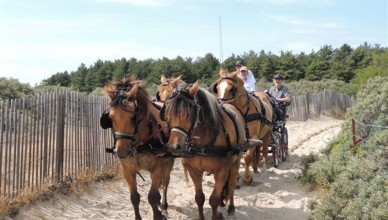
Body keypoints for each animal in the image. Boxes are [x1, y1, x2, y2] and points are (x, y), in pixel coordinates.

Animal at [102, 77, 174, 220]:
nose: (122, 152)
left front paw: (158, 214)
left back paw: (164, 206)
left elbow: (152, 197)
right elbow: (134, 197)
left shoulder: (157, 168)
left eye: (133, 117)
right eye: (110, 117)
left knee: (165, 183)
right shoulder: (127, 170)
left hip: (169, 162)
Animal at [162, 81, 256, 219]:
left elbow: (213, 199)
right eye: (168, 111)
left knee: (232, 185)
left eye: (190, 112)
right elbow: (200, 198)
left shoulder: (222, 171)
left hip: (235, 161)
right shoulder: (194, 170)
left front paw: (216, 214)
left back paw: (231, 209)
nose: (174, 146)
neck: (203, 144)